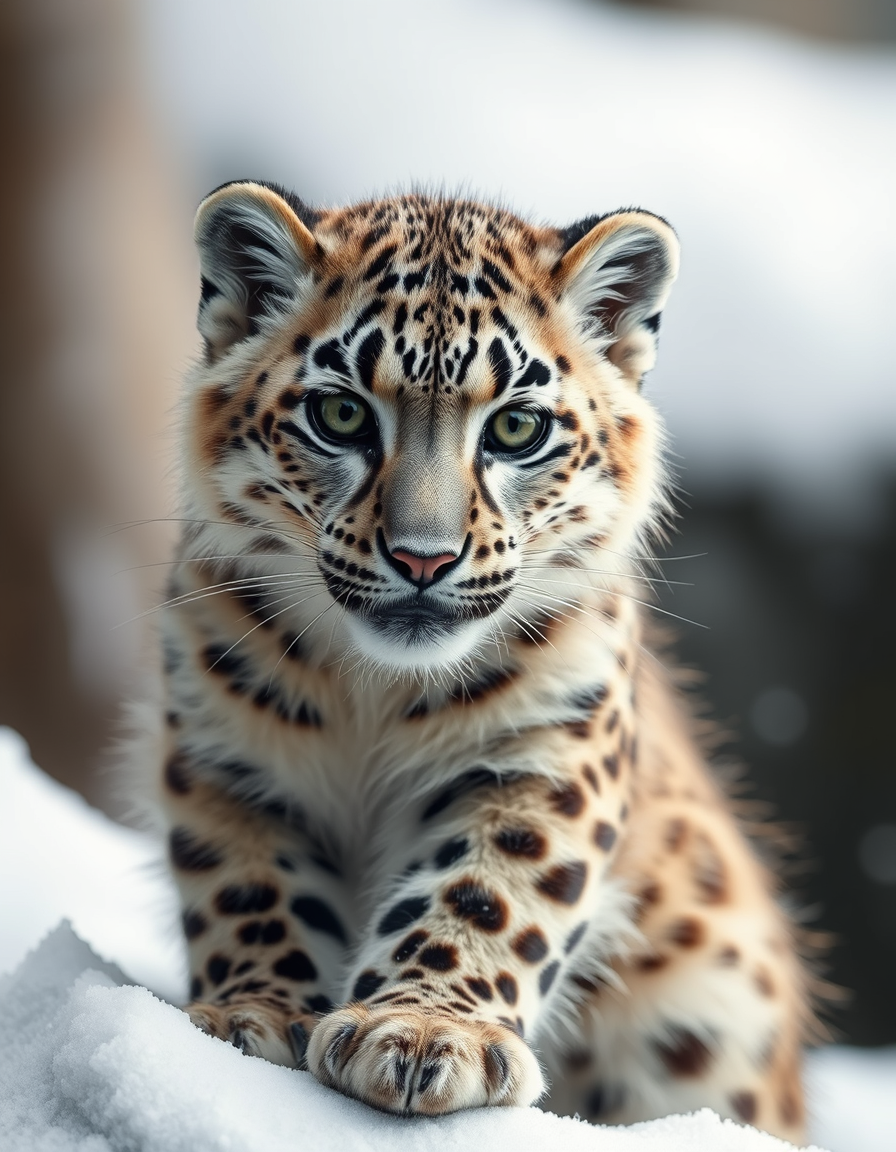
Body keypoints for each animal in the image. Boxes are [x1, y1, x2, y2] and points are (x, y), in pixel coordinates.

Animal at [135, 179, 816, 1142]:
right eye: (341, 414)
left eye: (518, 428)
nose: (422, 558)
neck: (375, 694)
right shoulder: (231, 760)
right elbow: (252, 890)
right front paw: (252, 1016)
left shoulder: (544, 758)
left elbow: (484, 894)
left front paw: (424, 1035)